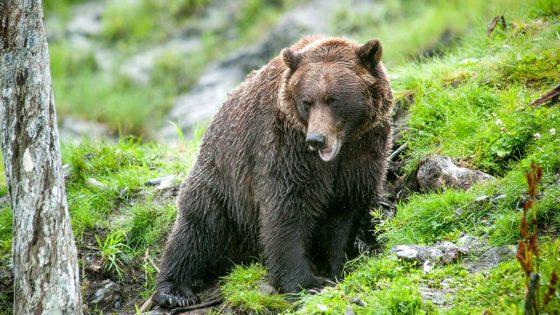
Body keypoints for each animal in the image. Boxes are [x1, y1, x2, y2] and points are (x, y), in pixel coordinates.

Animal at [154, 35, 394, 308]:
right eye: (307, 102)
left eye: (333, 99)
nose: (316, 139)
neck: (343, 146)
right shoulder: (285, 149)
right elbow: (286, 211)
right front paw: (306, 283)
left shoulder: (362, 154)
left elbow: (346, 211)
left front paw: (338, 267)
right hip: (221, 189)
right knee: (197, 231)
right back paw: (174, 290)